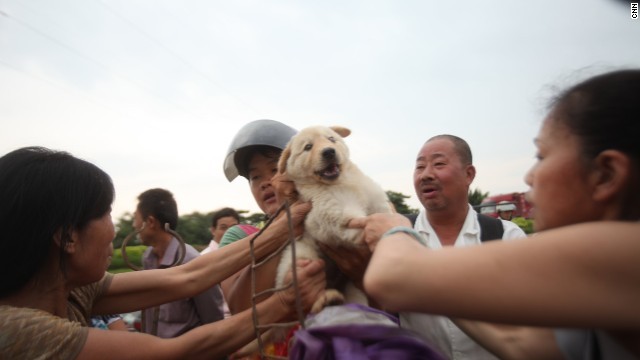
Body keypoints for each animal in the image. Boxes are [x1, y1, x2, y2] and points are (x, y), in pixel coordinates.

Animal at [276, 125, 390, 310]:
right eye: (308, 147)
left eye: (331, 139)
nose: (329, 152)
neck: (342, 182)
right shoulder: (332, 213)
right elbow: (358, 224)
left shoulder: (377, 202)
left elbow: (385, 216)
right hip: (301, 259)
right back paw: (326, 300)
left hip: (353, 288)